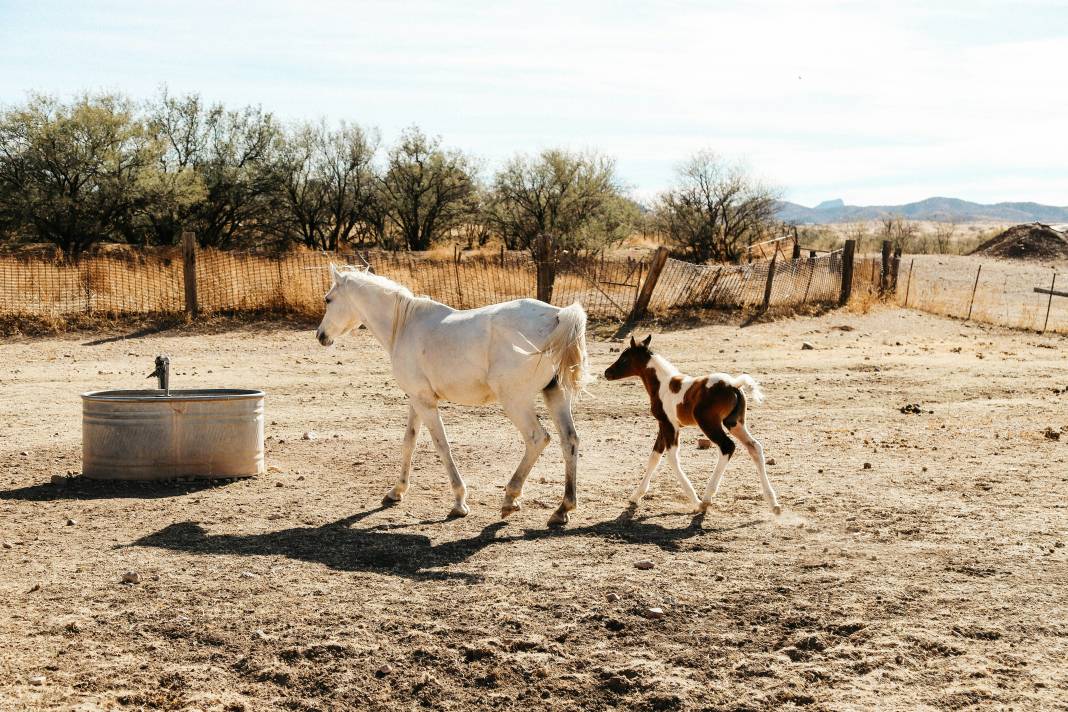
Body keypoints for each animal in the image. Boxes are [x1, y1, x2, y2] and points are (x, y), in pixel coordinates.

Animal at [313, 264, 593, 527]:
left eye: (328, 299)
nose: (320, 335)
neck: (404, 325)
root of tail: (557, 315)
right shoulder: (417, 400)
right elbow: (409, 442)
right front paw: (397, 491)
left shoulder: (426, 403)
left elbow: (442, 445)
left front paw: (459, 502)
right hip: (555, 395)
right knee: (570, 441)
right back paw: (562, 509)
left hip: (516, 402)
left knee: (537, 439)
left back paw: (510, 498)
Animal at [606, 337, 781, 514]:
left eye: (625, 358)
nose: (607, 373)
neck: (662, 385)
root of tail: (733, 385)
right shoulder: (664, 425)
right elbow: (654, 457)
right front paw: (636, 496)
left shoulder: (669, 425)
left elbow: (671, 458)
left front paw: (696, 501)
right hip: (734, 423)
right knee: (754, 447)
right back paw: (773, 503)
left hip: (709, 423)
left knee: (728, 447)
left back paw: (706, 498)